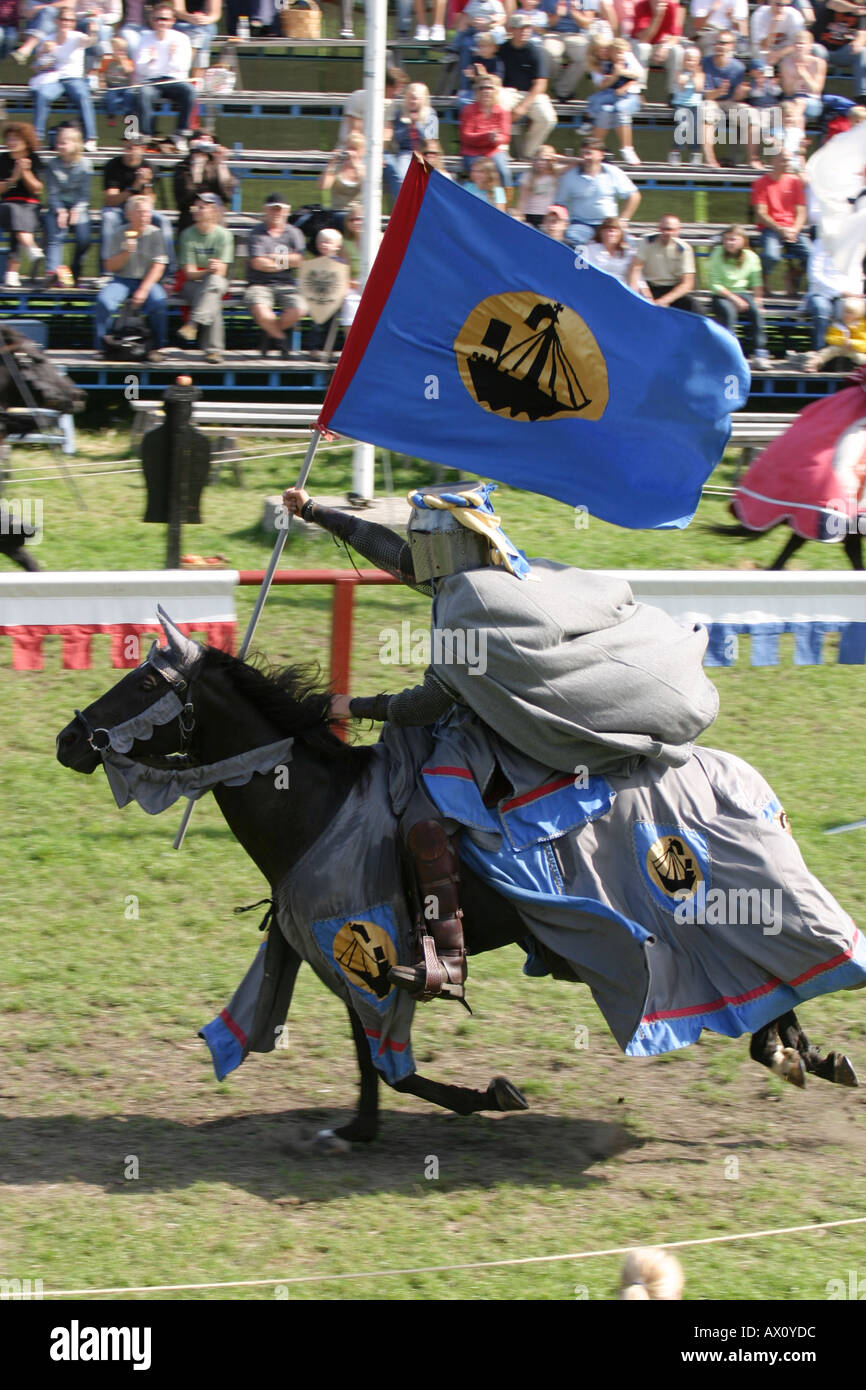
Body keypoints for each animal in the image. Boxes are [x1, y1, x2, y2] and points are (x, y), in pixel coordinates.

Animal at [55, 616, 859, 1148]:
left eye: (145, 681)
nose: (69, 739)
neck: (318, 807)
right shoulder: (347, 963)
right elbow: (370, 1058)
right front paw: (359, 1128)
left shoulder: (371, 951)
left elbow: (394, 1063)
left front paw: (490, 1097)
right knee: (769, 985)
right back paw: (801, 1051)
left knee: (776, 970)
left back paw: (789, 1049)